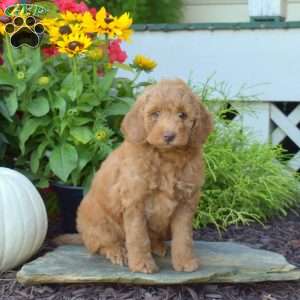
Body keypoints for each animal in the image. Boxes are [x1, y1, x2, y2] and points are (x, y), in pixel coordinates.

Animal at [59, 78, 213, 274]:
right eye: (155, 114)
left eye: (183, 115)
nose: (169, 136)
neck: (167, 158)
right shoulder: (134, 202)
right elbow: (138, 237)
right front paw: (142, 265)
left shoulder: (186, 203)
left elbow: (183, 237)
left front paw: (185, 262)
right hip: (98, 219)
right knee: (103, 243)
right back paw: (117, 252)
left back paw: (158, 246)